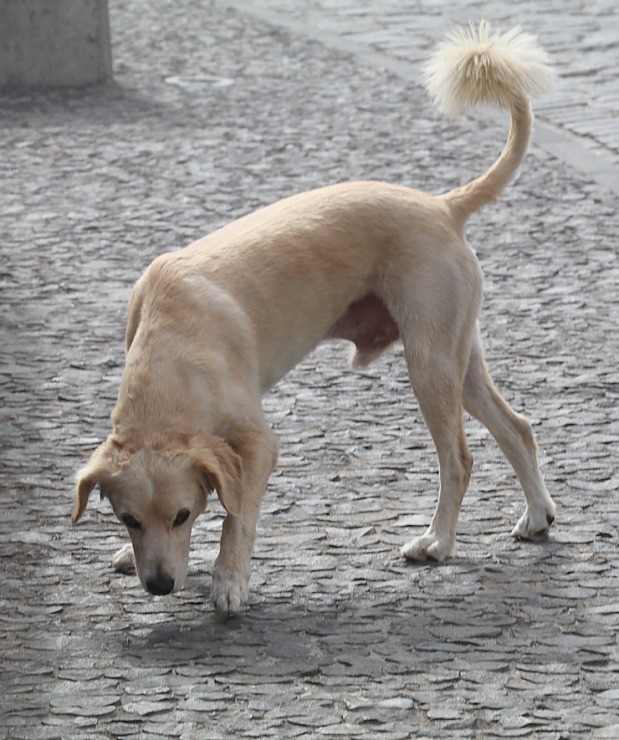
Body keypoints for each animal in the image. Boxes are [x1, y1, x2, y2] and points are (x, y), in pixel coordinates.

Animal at [72, 21, 556, 612]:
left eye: (183, 515)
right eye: (129, 519)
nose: (161, 585)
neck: (173, 345)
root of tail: (442, 206)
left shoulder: (258, 446)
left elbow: (237, 514)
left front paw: (229, 579)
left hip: (430, 365)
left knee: (459, 460)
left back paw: (438, 542)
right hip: (458, 361)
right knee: (518, 428)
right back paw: (536, 516)